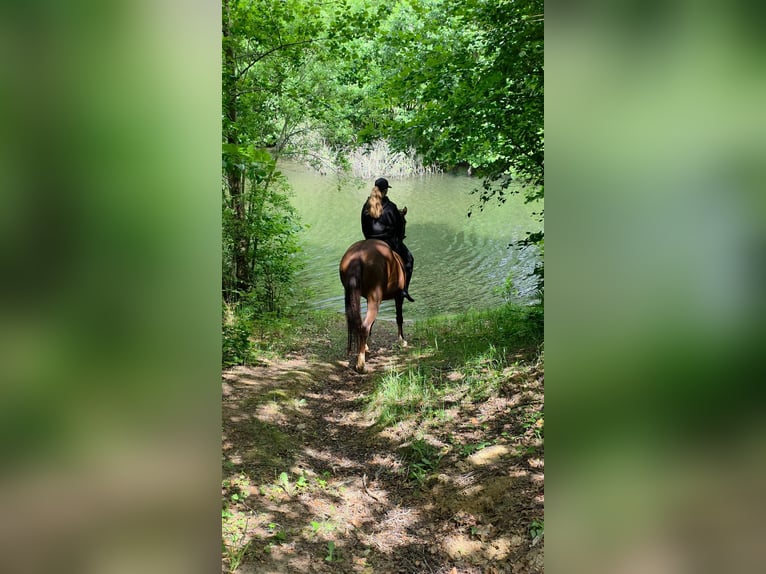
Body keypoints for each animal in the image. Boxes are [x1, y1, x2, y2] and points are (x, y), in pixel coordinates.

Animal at [339, 208, 408, 373]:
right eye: (403, 222)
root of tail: (357, 256)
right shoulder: (399, 296)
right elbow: (399, 318)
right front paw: (401, 341)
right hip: (375, 299)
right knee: (364, 326)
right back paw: (361, 365)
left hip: (354, 295)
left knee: (359, 323)